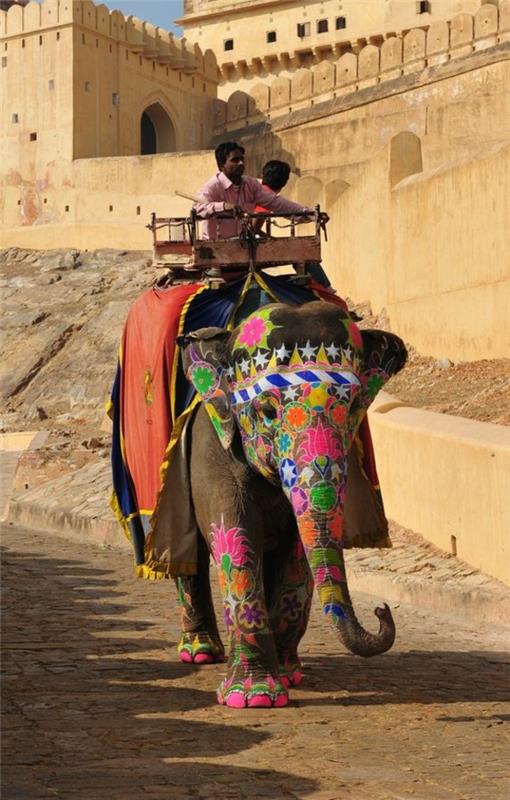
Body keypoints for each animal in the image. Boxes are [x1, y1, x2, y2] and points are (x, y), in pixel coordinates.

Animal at [149, 300, 404, 708]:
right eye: (266, 412)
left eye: (351, 409)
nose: (382, 608)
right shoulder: (212, 447)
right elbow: (235, 539)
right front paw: (253, 699)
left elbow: (297, 553)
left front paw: (285, 678)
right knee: (190, 556)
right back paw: (201, 652)